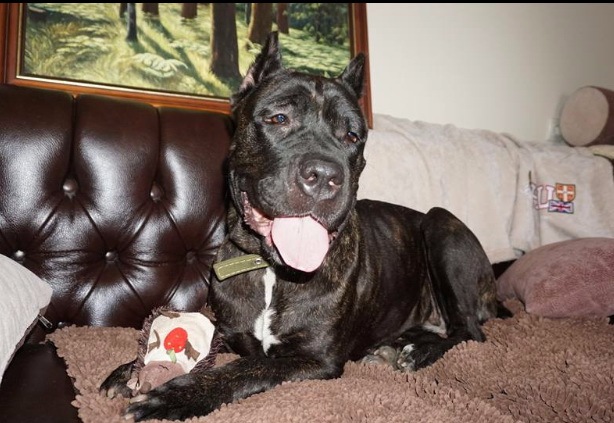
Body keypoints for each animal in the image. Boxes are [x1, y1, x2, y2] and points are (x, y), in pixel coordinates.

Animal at [100, 31, 504, 421]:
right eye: (278, 119)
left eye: (352, 136)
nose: (325, 175)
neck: (270, 269)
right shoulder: (228, 330)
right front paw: (128, 370)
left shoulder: (314, 358)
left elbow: (245, 369)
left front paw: (177, 396)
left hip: (440, 227)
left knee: (470, 331)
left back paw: (417, 352)